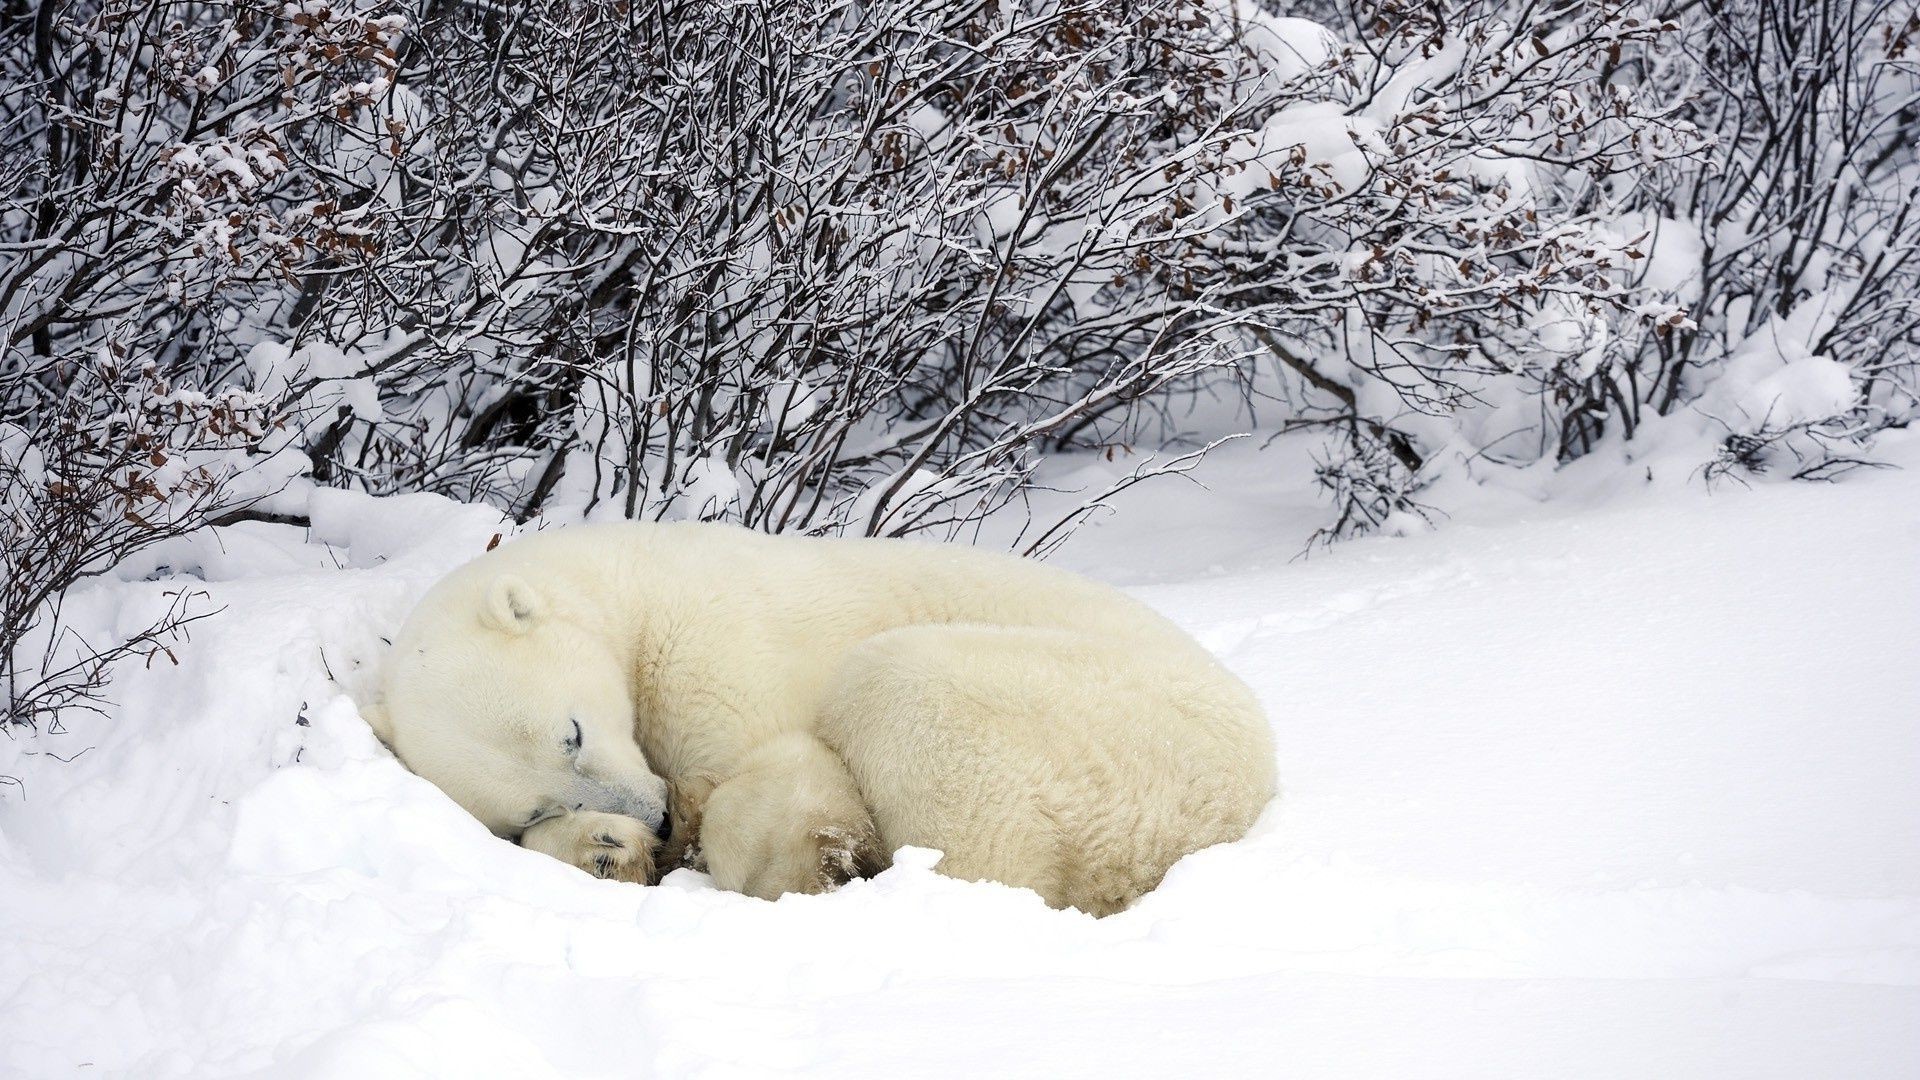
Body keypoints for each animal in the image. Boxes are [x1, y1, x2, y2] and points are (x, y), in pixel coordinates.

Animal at [368, 526, 1282, 910]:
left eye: (574, 731)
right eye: (535, 804)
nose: (653, 818)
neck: (631, 585)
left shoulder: (714, 641)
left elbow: (778, 769)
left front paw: (800, 861)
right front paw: (605, 849)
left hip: (1111, 726)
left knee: (904, 692)